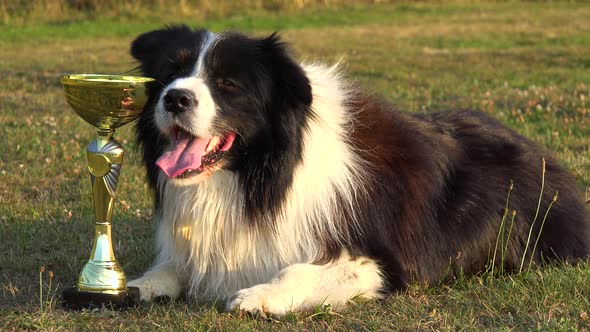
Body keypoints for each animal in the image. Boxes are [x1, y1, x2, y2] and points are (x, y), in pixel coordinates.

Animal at [128, 26, 590, 316]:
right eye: (171, 74)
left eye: (227, 83)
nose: (175, 99)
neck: (264, 175)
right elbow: (170, 266)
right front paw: (137, 285)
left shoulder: (386, 263)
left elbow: (299, 268)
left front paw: (260, 296)